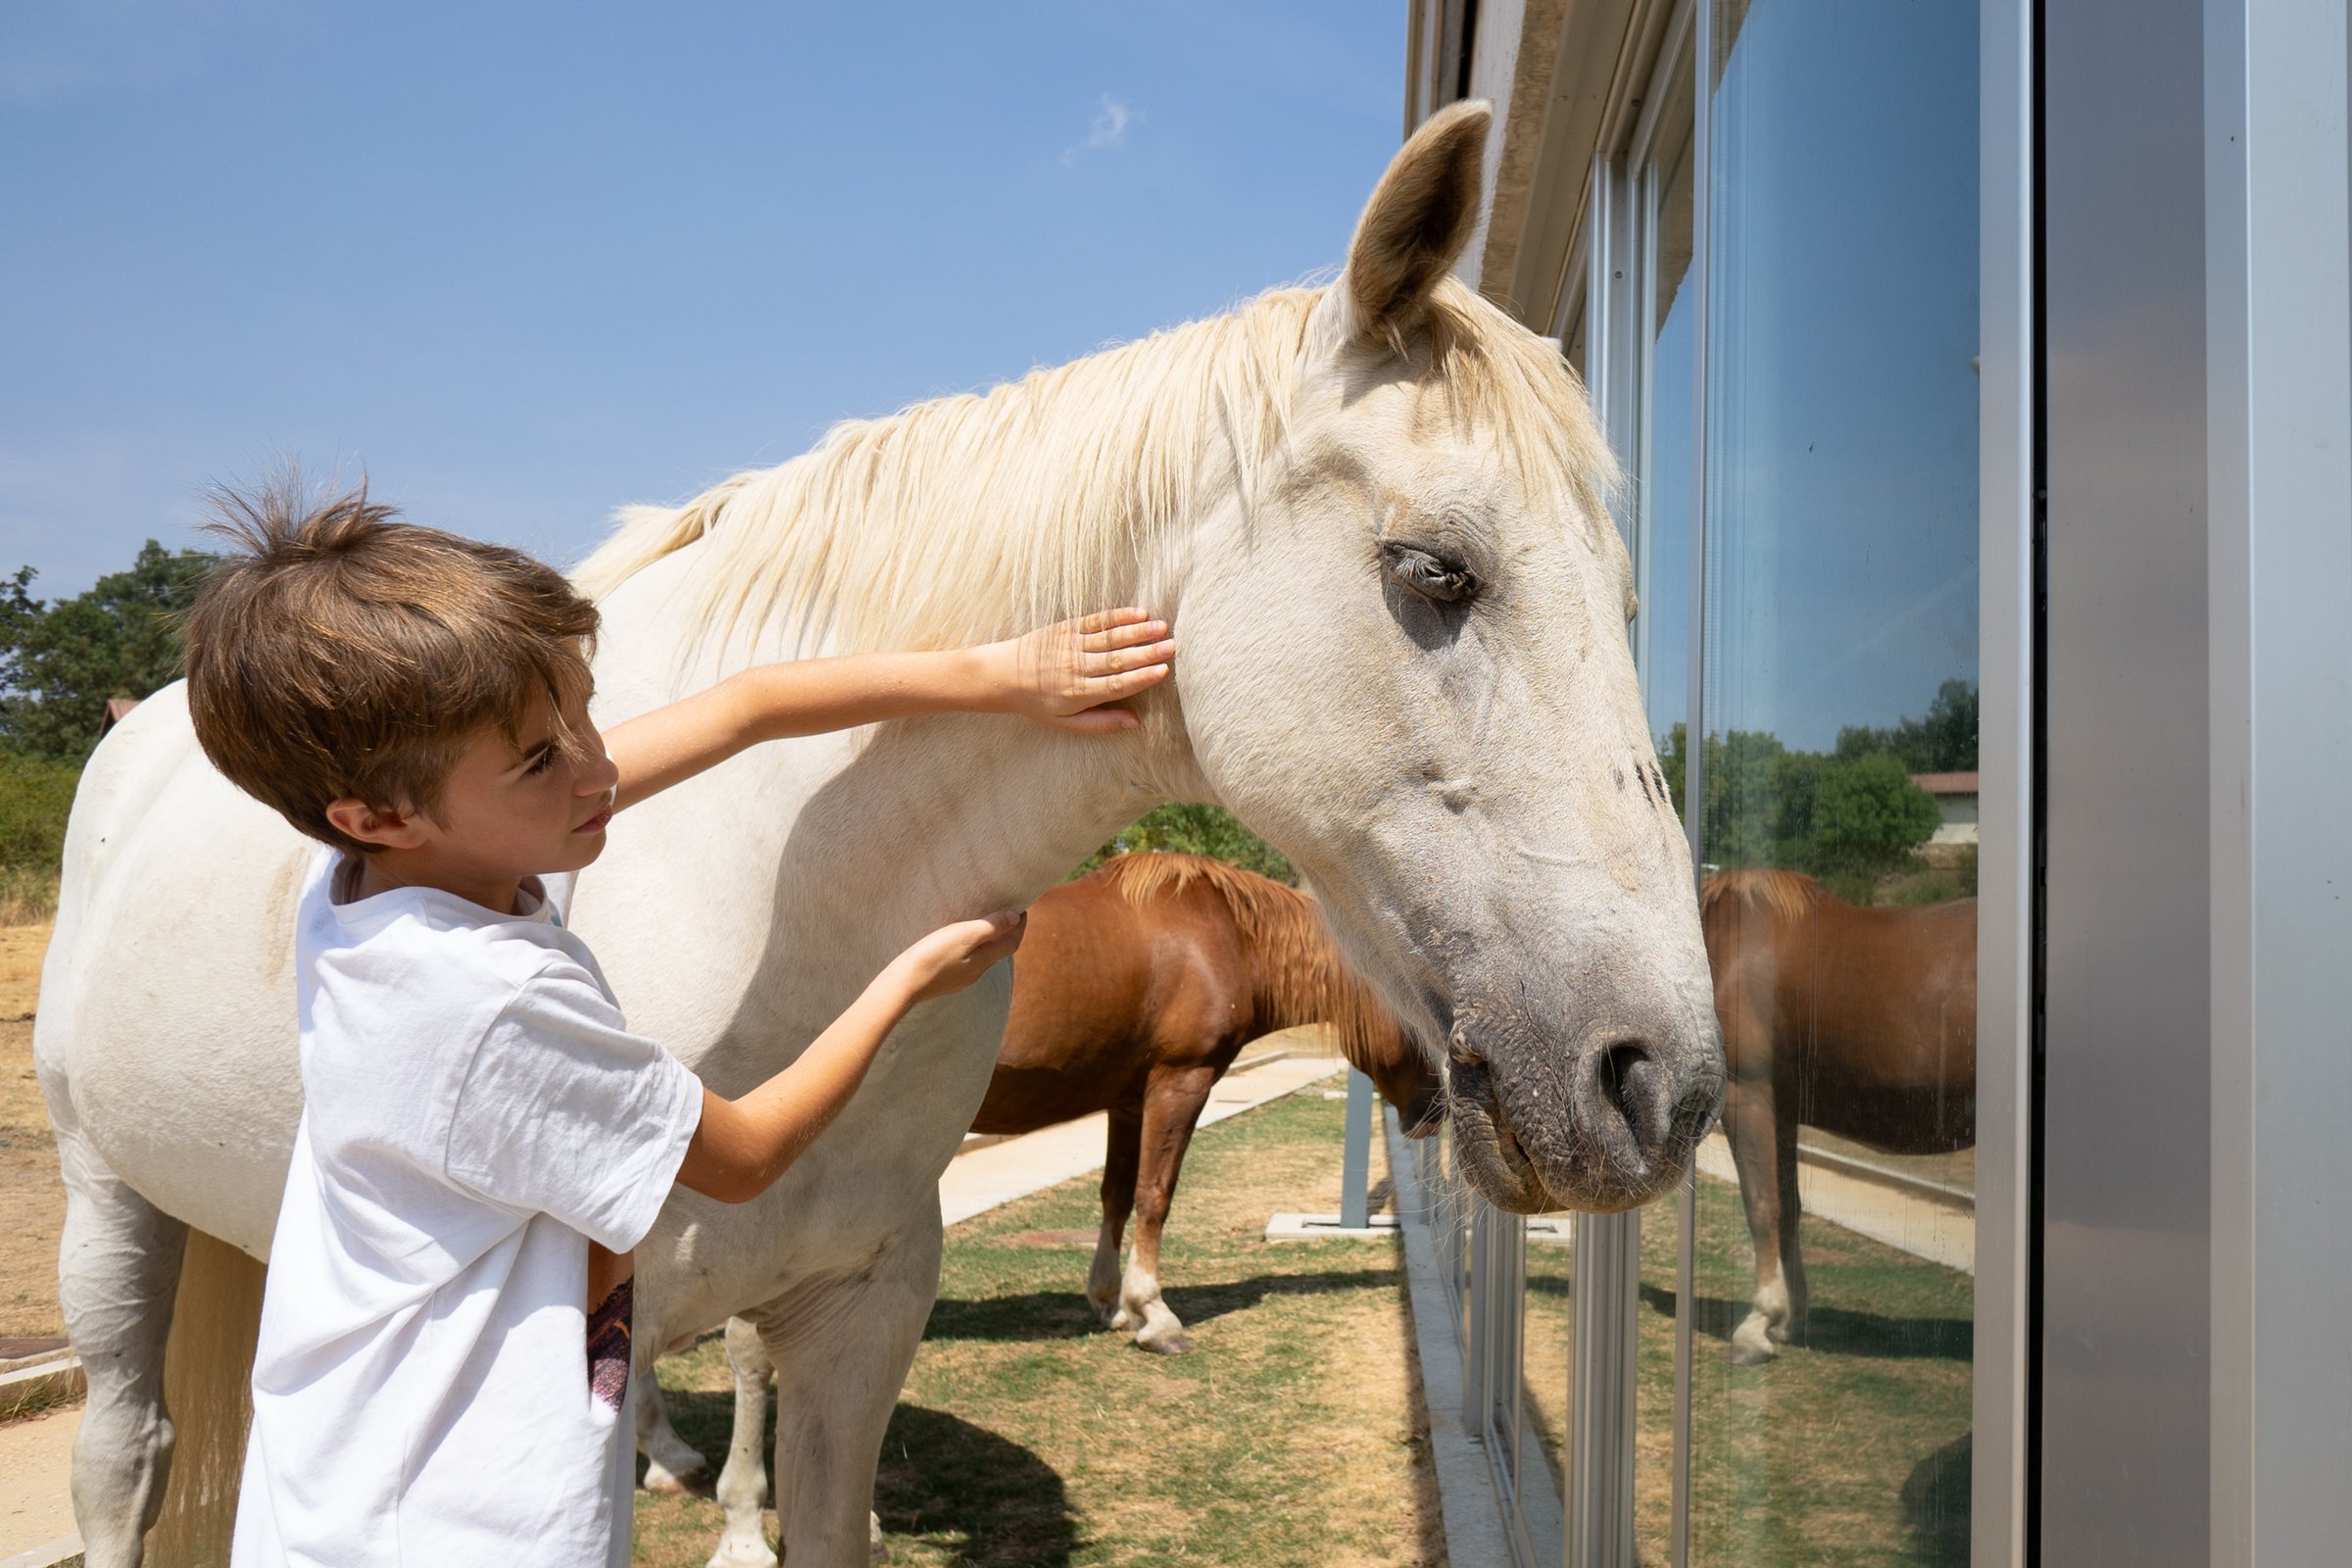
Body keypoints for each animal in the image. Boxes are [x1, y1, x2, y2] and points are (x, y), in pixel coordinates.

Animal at [36, 101, 1724, 1568]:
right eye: (1436, 572)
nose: (1662, 1085)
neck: (773, 894)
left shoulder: (861, 1304)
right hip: (110, 1204)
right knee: (127, 1456)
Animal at [1700, 869, 1976, 1364]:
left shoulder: (1746, 1095)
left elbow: (1761, 1203)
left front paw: (1758, 1323)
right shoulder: (1781, 1107)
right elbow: (1788, 1206)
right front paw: (1786, 1320)